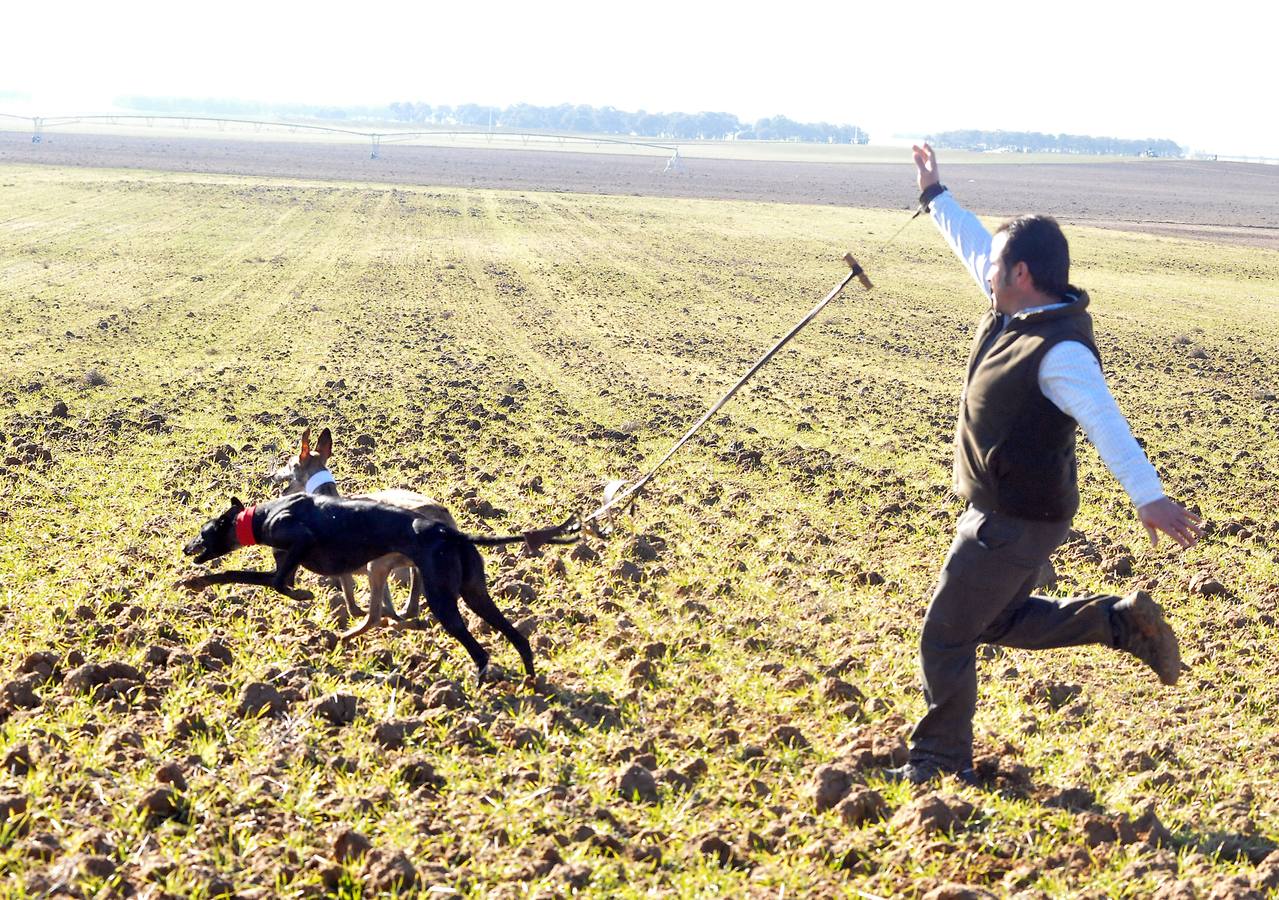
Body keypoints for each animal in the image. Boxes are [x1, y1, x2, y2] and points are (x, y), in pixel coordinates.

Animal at [180, 496, 570, 680]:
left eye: (202, 531)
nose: (185, 548)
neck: (263, 515)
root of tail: (452, 534)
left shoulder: (300, 541)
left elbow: (269, 580)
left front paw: (303, 595)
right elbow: (259, 577)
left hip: (441, 598)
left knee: (481, 651)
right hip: (475, 592)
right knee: (518, 638)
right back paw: (530, 683)